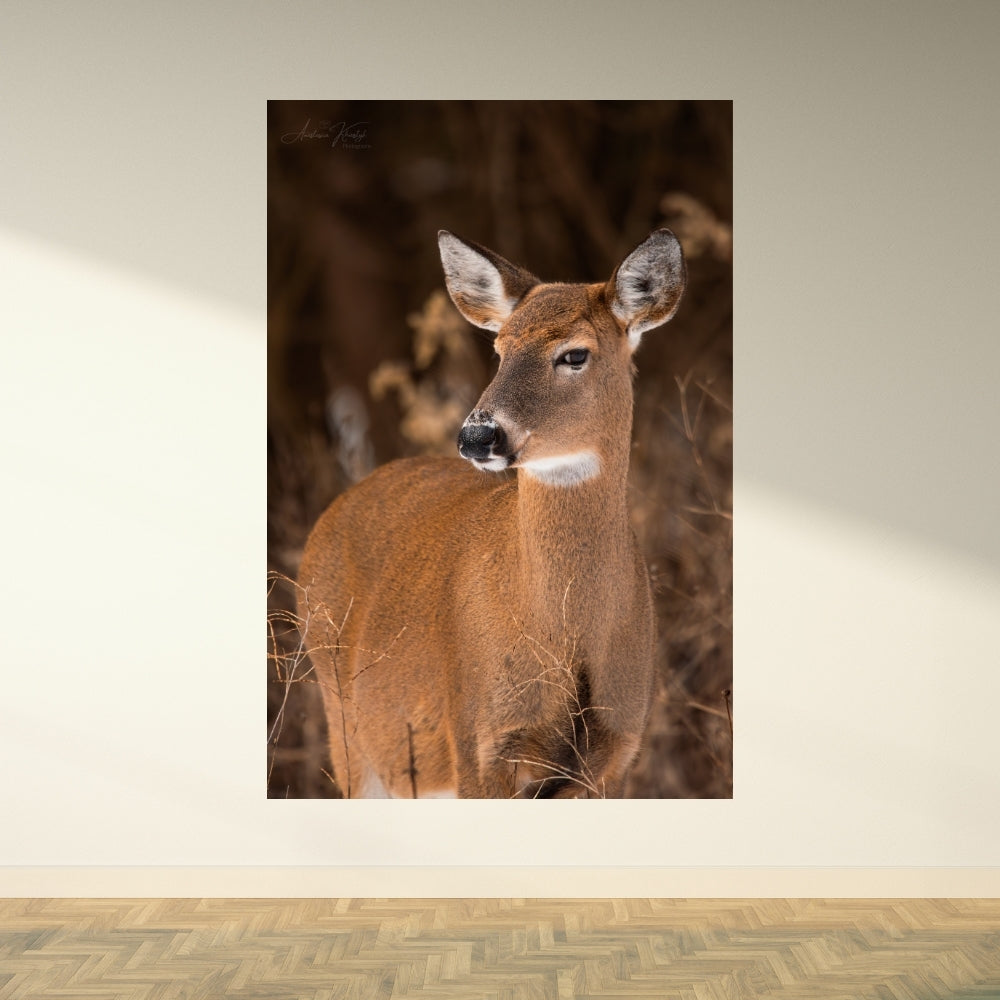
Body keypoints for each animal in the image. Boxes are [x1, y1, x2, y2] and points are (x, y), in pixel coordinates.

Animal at [297, 228, 686, 798]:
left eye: (574, 355)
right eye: (500, 348)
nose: (478, 435)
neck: (565, 635)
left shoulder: (617, 751)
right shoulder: (475, 735)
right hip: (347, 724)